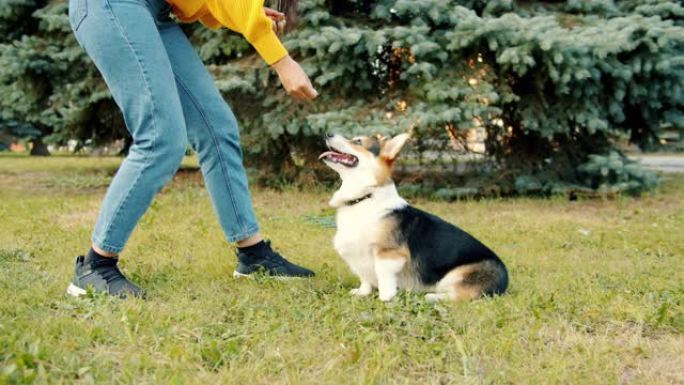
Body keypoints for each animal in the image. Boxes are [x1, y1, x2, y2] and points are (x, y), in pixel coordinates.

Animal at [320, 134, 508, 302]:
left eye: (358, 141)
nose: (328, 134)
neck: (365, 197)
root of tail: (506, 280)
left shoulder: (389, 254)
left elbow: (384, 278)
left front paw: (385, 299)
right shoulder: (359, 257)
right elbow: (365, 279)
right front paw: (362, 293)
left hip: (455, 276)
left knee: (460, 295)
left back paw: (432, 297)